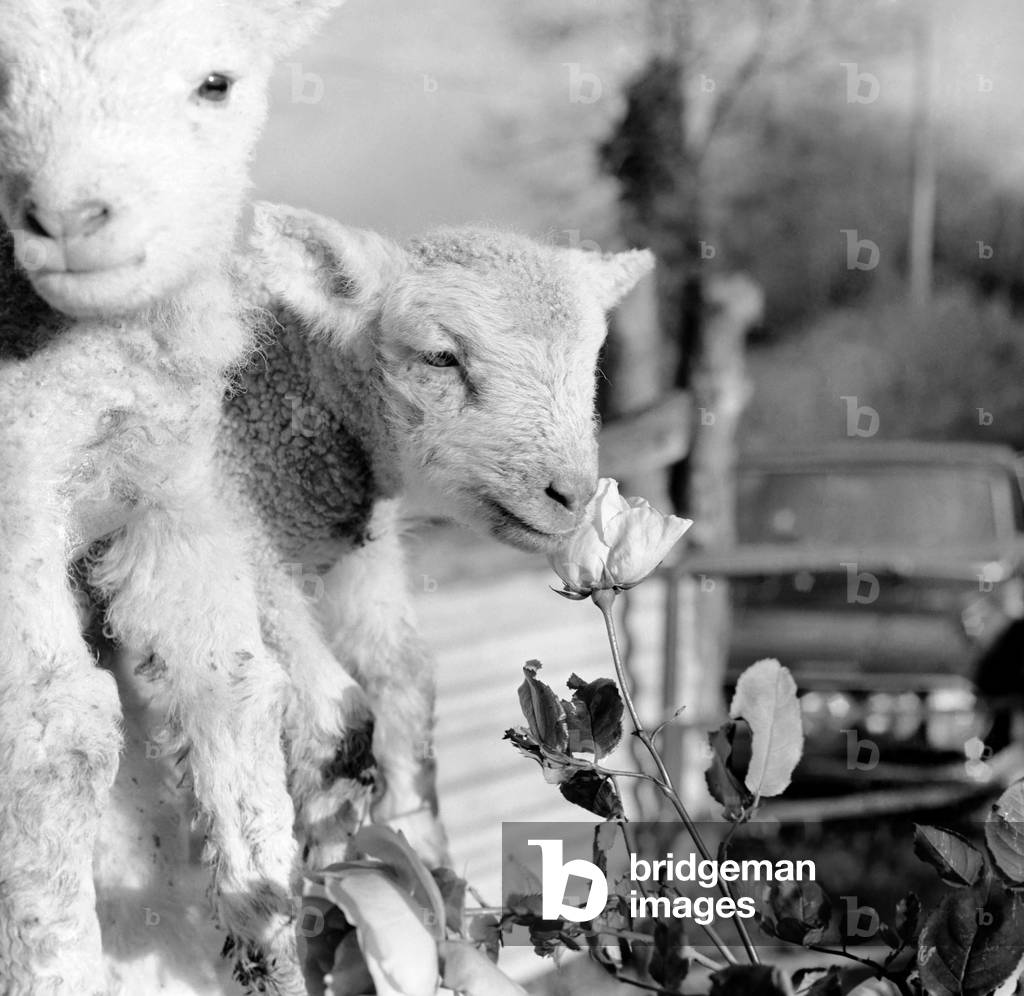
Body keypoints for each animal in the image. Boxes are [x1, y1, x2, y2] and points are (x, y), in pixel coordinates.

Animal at [0, 3, 349, 993]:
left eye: (215, 83)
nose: (68, 220)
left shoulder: (167, 491)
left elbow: (227, 680)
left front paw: (263, 919)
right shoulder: (14, 498)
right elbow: (53, 736)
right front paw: (57, 964)